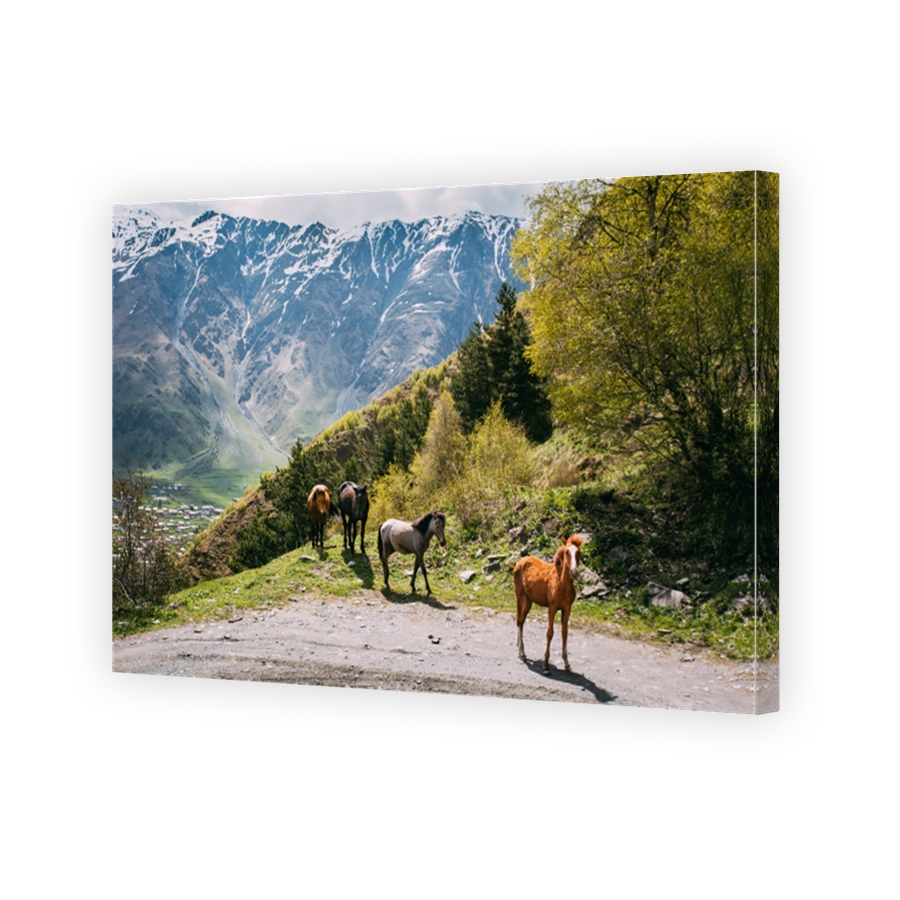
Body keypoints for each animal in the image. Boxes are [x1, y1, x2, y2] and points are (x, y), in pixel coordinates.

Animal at [513, 535, 583, 671]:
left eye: (578, 552)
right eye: (567, 552)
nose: (574, 572)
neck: (562, 584)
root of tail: (520, 561)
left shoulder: (567, 608)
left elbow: (564, 633)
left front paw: (566, 663)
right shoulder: (552, 607)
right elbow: (550, 633)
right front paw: (545, 664)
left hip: (528, 601)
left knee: (522, 621)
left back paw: (521, 650)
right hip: (520, 597)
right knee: (519, 620)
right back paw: (521, 653)